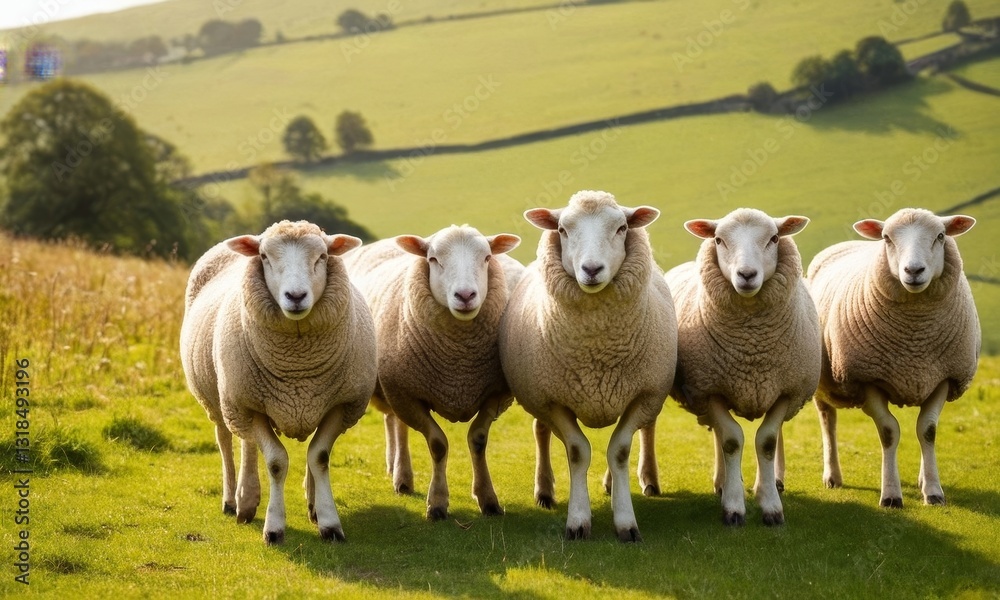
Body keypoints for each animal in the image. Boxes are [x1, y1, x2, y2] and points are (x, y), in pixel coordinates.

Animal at [180, 220, 377, 544]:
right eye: (264, 257)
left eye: (322, 257)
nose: (295, 297)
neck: (297, 367)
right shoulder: (249, 406)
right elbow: (275, 462)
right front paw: (273, 527)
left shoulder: (341, 404)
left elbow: (319, 456)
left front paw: (329, 522)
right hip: (223, 399)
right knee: (227, 440)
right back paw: (235, 500)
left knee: (256, 444)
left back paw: (296, 503)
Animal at [342, 225, 521, 520]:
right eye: (433, 260)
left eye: (486, 258)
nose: (465, 296)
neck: (459, 363)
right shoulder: (406, 394)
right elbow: (438, 444)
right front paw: (437, 503)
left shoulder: (496, 394)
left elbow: (478, 439)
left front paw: (487, 499)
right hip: (395, 386)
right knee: (399, 426)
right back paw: (402, 476)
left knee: (392, 421)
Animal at [499, 190, 677, 542]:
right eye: (563, 229)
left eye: (622, 228)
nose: (592, 269)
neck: (597, 351)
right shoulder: (552, 399)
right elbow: (577, 452)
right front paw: (578, 521)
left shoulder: (643, 394)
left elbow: (619, 450)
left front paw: (626, 522)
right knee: (540, 431)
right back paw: (544, 491)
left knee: (643, 432)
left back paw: (640, 481)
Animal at [665, 208, 820, 526]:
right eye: (719, 240)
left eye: (774, 238)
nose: (746, 275)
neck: (752, 345)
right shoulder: (709, 389)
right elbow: (731, 441)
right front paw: (733, 506)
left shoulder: (787, 391)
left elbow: (768, 441)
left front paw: (770, 505)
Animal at [807, 208, 980, 508]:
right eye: (887, 238)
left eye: (940, 236)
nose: (913, 271)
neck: (915, 339)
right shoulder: (867, 378)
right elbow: (889, 432)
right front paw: (890, 495)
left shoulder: (944, 377)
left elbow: (928, 430)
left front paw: (933, 491)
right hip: (822, 383)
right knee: (828, 421)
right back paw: (832, 476)